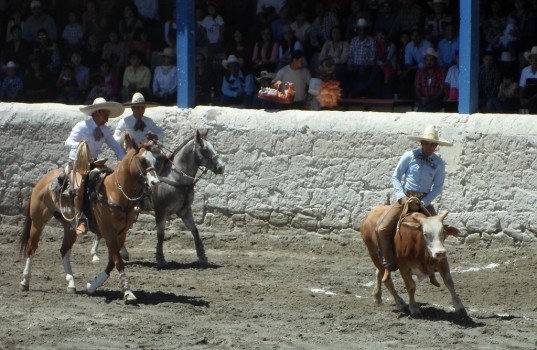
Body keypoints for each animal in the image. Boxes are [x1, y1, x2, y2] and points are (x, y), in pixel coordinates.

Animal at [19, 139, 161, 304]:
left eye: (156, 160)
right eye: (143, 160)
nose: (155, 182)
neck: (114, 192)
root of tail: (42, 180)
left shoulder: (121, 233)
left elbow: (113, 260)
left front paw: (92, 285)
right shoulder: (108, 233)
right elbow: (117, 260)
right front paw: (127, 292)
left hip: (70, 227)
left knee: (64, 250)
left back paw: (71, 283)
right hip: (38, 221)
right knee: (31, 247)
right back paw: (25, 281)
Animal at [91, 130, 225, 266]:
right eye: (204, 149)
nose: (221, 167)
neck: (175, 179)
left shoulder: (185, 210)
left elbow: (195, 231)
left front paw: (202, 256)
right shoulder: (161, 211)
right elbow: (160, 234)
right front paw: (160, 258)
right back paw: (96, 254)